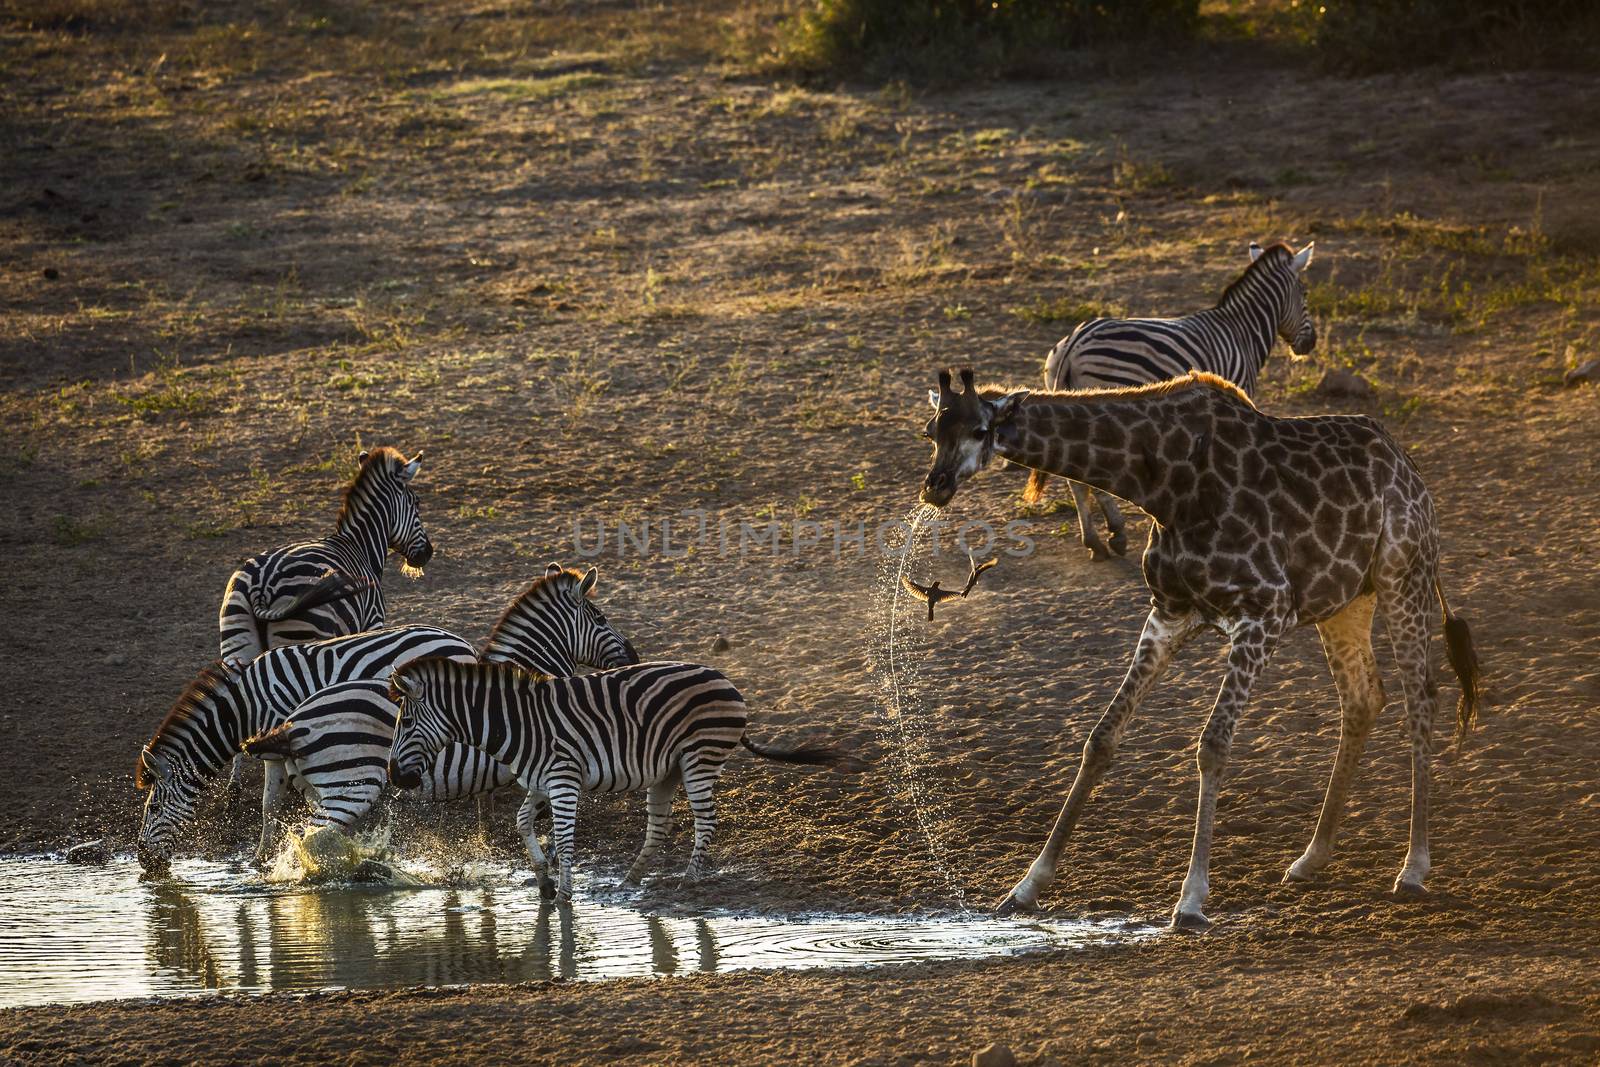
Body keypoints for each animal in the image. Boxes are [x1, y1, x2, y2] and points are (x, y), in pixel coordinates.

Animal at [138, 620, 476, 870]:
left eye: (153, 808)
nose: (143, 860)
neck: (242, 708)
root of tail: (462, 642)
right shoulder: (278, 748)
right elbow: (279, 803)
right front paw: (263, 857)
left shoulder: (277, 742)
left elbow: (270, 803)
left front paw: (265, 855)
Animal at [385, 659, 844, 902]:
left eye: (405, 722)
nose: (393, 776)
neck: (517, 724)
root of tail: (725, 678)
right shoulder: (539, 782)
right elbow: (521, 822)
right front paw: (543, 878)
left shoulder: (563, 779)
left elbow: (565, 837)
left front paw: (564, 895)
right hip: (666, 769)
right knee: (660, 826)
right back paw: (630, 880)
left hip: (700, 757)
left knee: (706, 820)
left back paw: (689, 879)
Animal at [921, 364, 1478, 927]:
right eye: (932, 431)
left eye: (980, 431)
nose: (935, 486)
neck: (1164, 484)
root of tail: (1409, 468)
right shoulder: (1168, 614)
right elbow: (1101, 739)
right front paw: (1026, 887)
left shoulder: (1264, 614)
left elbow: (1213, 746)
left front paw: (1190, 900)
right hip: (1345, 601)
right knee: (1363, 698)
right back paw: (1311, 858)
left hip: (1403, 575)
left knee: (1421, 698)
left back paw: (1413, 868)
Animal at [1024, 241, 1312, 559]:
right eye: (1305, 294)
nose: (1309, 344)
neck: (1243, 332)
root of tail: (1074, 343)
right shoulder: (1236, 391)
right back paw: (1116, 534)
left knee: (1076, 480)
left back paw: (1095, 541)